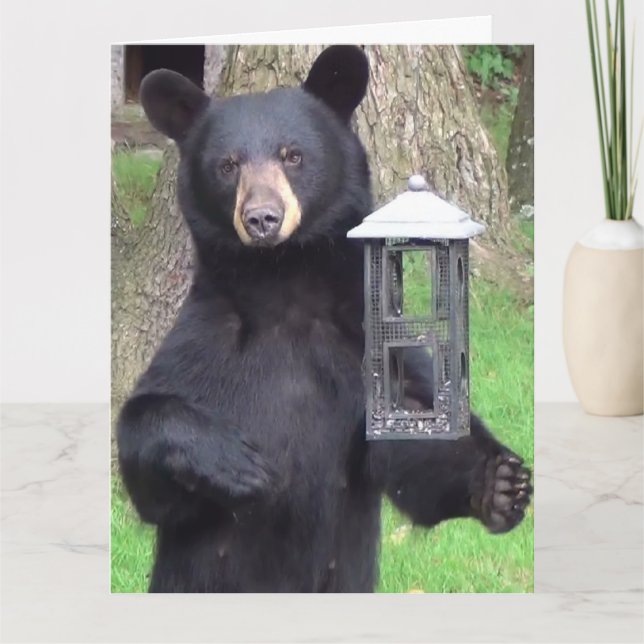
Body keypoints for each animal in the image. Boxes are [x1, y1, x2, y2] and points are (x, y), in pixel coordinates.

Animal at [116, 45, 532, 593]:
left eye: (293, 155)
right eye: (228, 165)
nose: (262, 218)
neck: (285, 284)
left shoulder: (363, 340)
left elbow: (413, 436)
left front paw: (501, 482)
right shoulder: (205, 338)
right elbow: (146, 450)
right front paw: (239, 464)